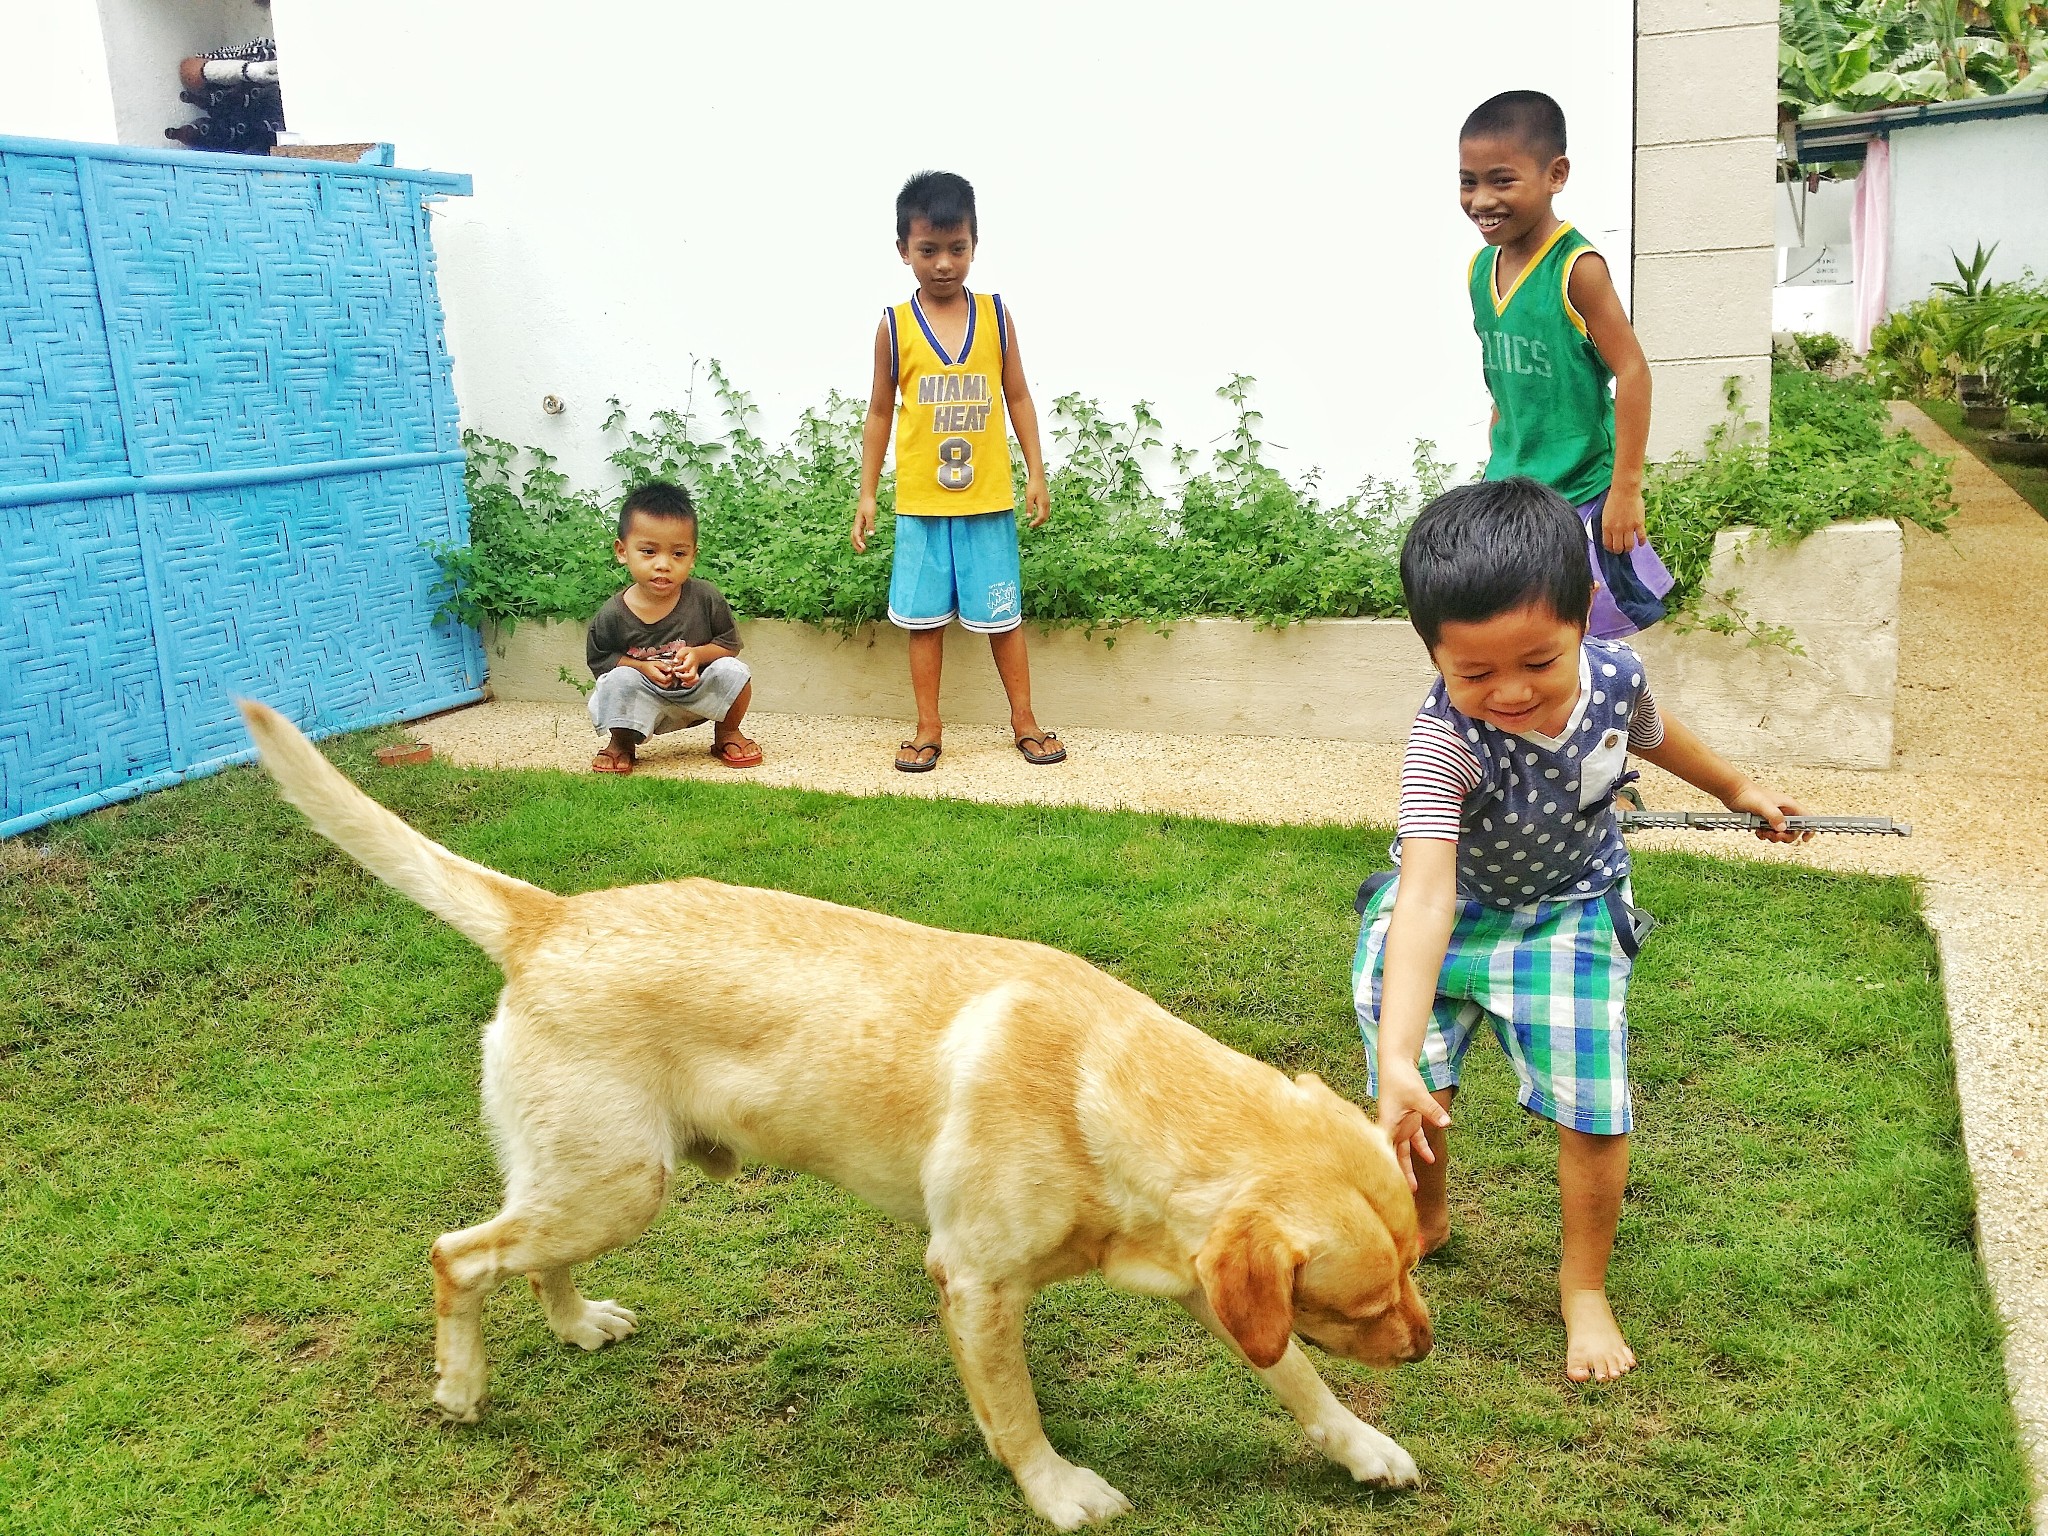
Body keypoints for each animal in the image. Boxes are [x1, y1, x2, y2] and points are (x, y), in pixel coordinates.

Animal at [235, 708, 1425, 1531]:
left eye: (1414, 1270)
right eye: (1367, 1303)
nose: (1421, 1344)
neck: (1102, 1088)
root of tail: (551, 916)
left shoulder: (1208, 1280)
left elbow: (1298, 1379)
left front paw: (1363, 1447)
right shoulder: (975, 1286)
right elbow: (1017, 1415)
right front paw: (1057, 1490)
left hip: (594, 1183)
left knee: (527, 1261)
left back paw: (575, 1327)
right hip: (612, 1184)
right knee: (458, 1255)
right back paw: (460, 1387)